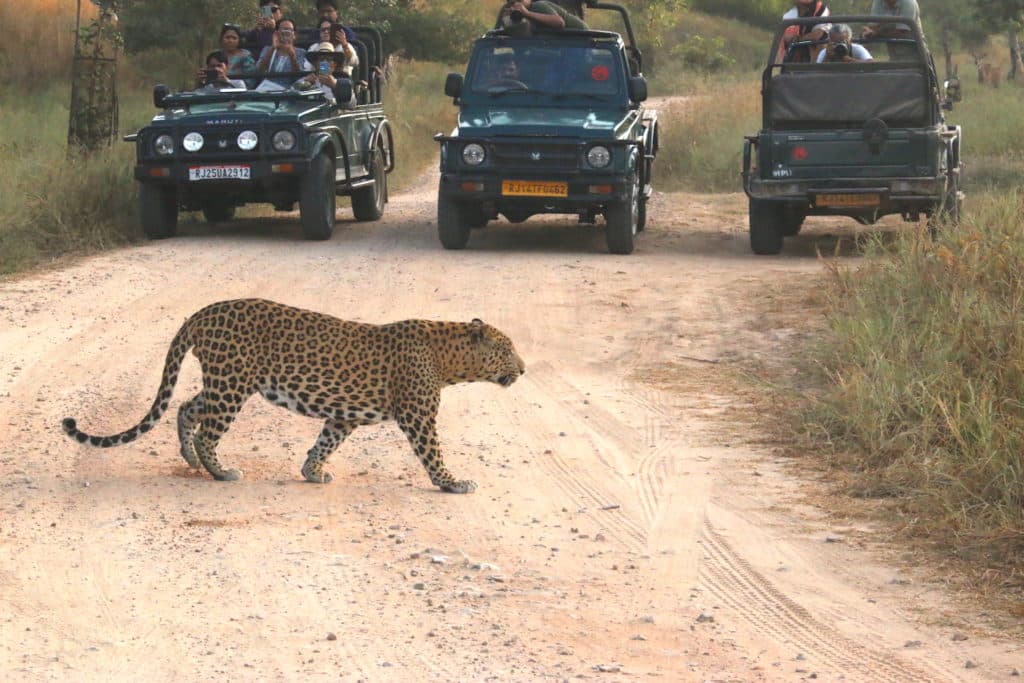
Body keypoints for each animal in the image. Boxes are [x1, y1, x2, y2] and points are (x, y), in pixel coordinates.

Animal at [61, 299, 528, 491]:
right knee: (208, 430)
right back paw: (221, 472)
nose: (523, 369)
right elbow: (433, 453)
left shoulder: (343, 416)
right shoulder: (418, 416)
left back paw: (190, 459)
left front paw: (312, 472)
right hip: (232, 385)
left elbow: (325, 442)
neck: (450, 359)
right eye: (507, 349)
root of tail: (202, 312)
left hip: (224, 382)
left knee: (186, 408)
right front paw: (453, 483)